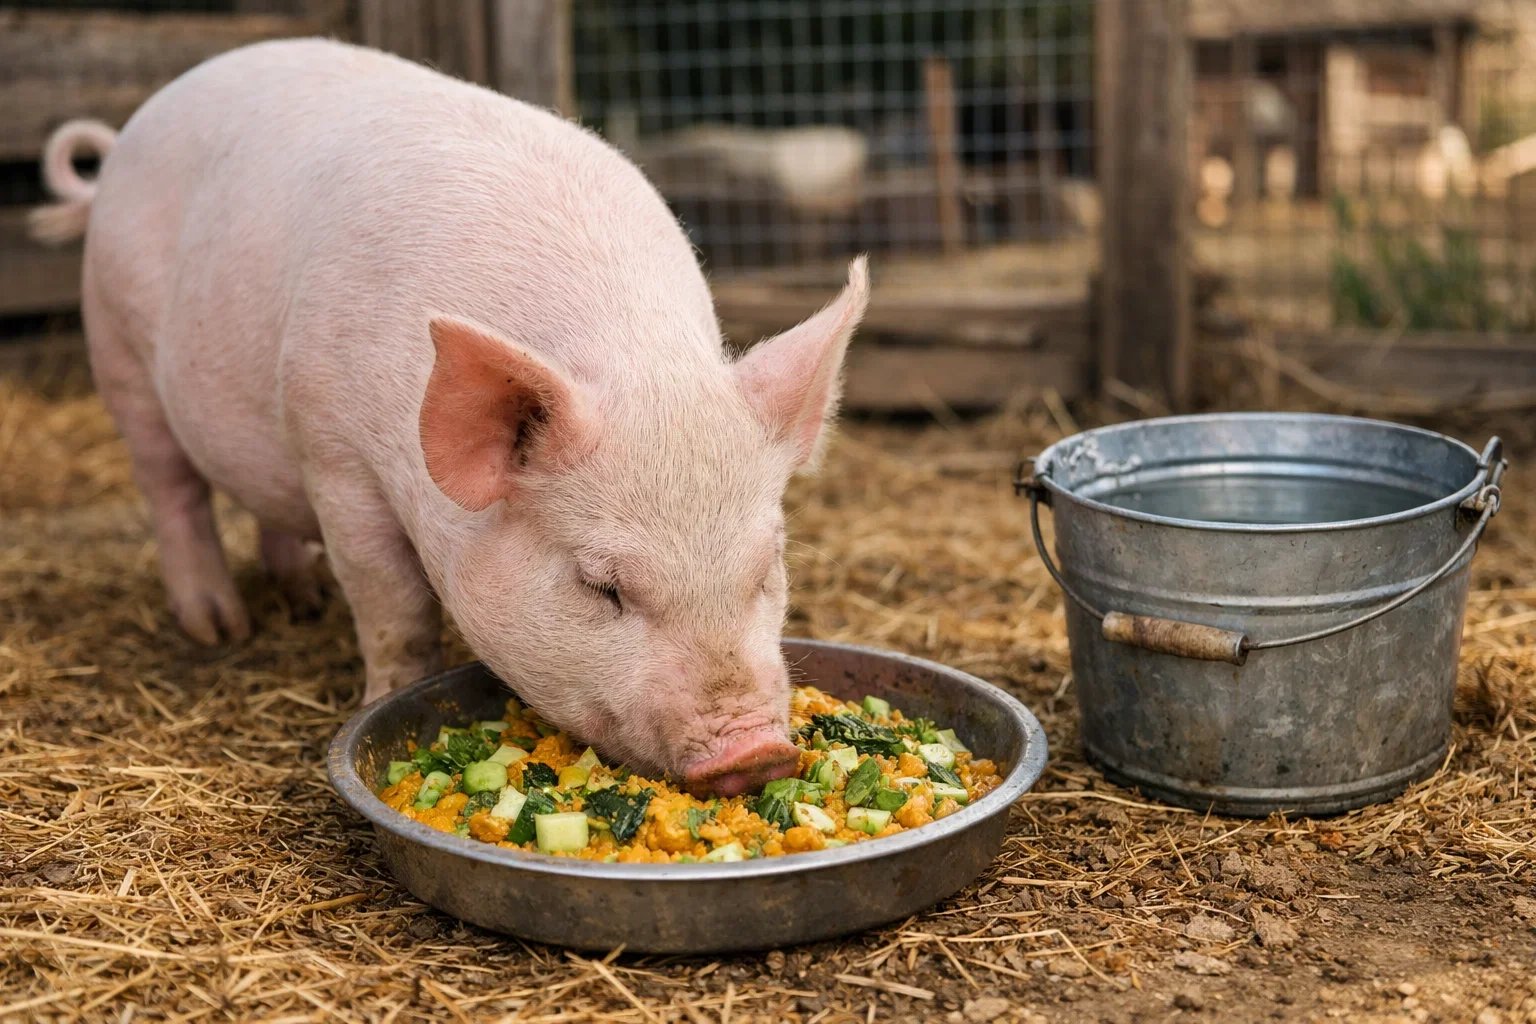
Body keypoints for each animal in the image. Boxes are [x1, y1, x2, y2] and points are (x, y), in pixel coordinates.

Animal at [30, 38, 868, 797]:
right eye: (601, 586)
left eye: (768, 568)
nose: (756, 751)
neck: (625, 352)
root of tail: (128, 135)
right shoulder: (336, 455)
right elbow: (393, 606)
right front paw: (380, 697)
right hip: (118, 346)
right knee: (171, 487)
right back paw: (218, 626)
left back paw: (302, 601)